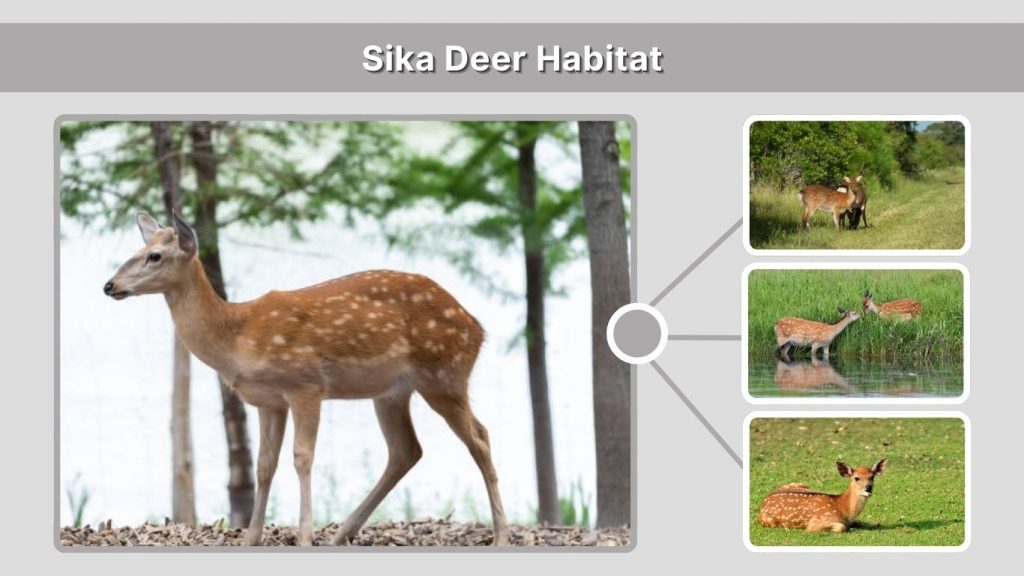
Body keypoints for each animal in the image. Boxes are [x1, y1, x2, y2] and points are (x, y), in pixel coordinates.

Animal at [103, 213, 509, 547]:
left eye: (155, 256)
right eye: (142, 248)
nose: (109, 285)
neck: (236, 336)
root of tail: (478, 328)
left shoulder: (305, 385)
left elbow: (302, 457)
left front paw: (304, 536)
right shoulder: (268, 401)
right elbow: (264, 464)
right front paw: (251, 537)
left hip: (443, 375)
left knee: (480, 437)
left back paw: (502, 535)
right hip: (391, 392)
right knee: (406, 450)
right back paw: (343, 532)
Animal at [758, 459, 888, 532]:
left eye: (872, 477)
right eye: (856, 478)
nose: (868, 488)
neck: (843, 509)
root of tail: (763, 502)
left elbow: (859, 522)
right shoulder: (815, 523)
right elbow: (841, 527)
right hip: (769, 521)